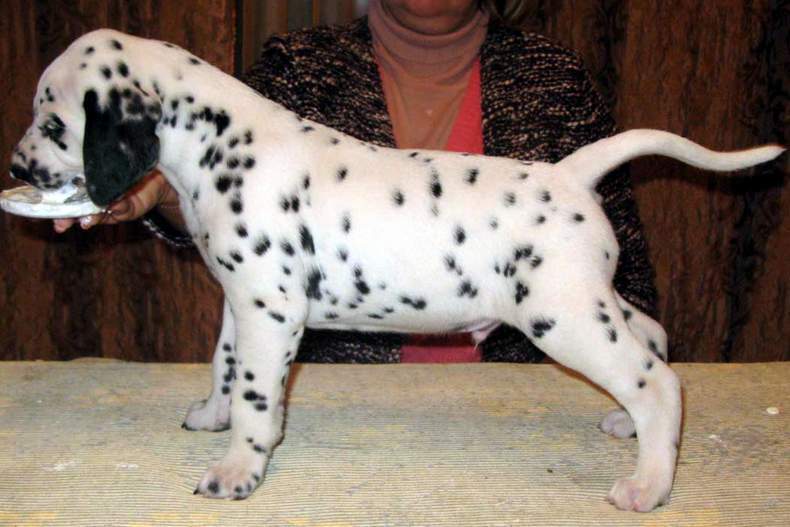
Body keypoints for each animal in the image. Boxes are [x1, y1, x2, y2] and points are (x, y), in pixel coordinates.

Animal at [9, 29, 784, 511]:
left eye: (53, 124)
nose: (18, 168)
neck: (223, 144)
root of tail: (568, 173)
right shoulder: (242, 304)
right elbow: (225, 368)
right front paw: (213, 415)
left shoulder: (270, 311)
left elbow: (259, 398)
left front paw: (238, 470)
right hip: (589, 301)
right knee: (651, 337)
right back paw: (633, 434)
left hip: (561, 315)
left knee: (658, 382)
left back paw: (648, 484)